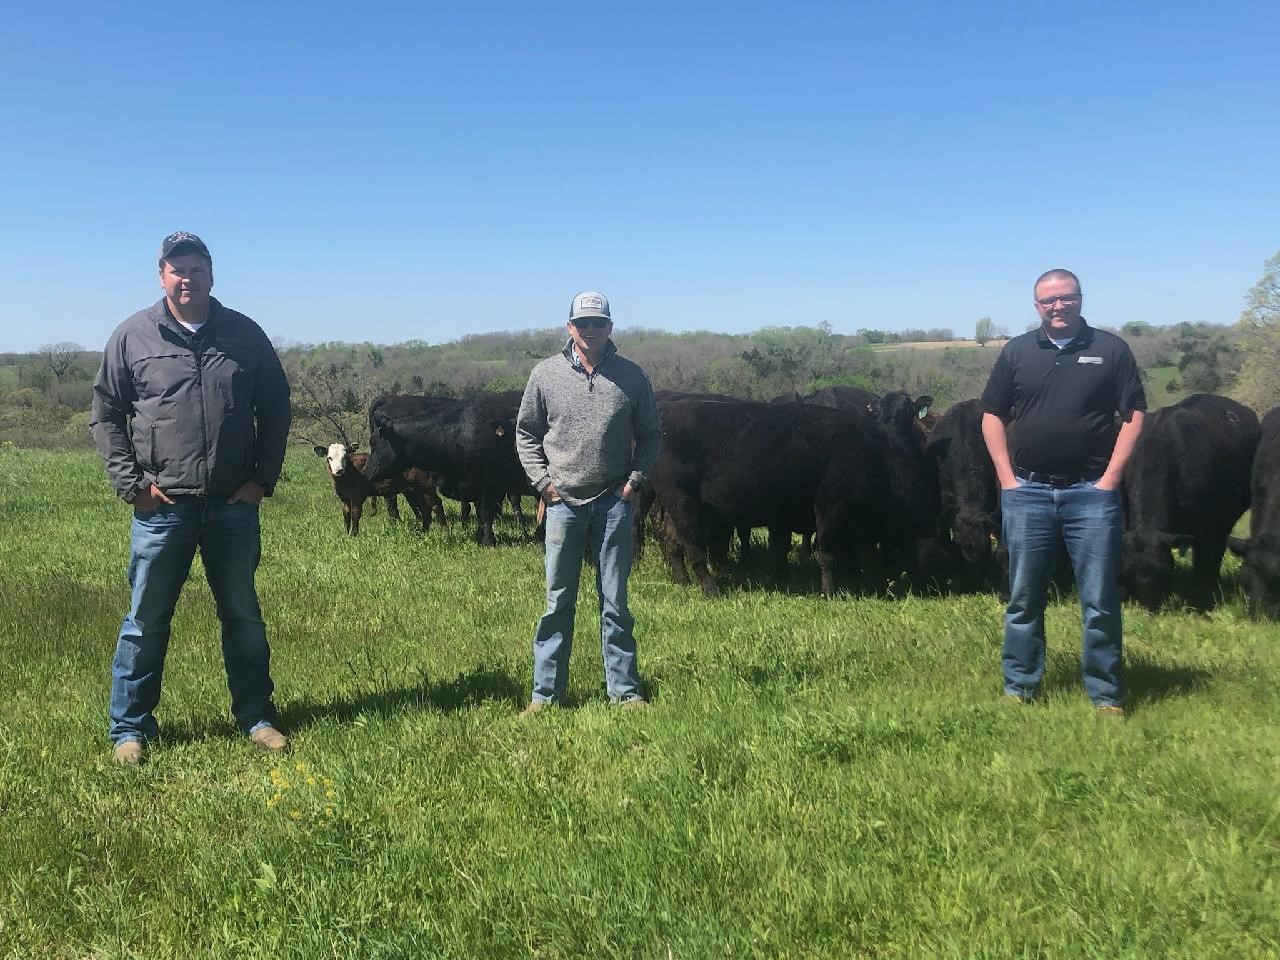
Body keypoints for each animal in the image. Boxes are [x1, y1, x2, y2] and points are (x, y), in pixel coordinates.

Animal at [1121, 394, 1259, 611]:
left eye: (1164, 570)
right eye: (1127, 572)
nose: (1149, 609)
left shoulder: (1212, 527)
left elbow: (1206, 564)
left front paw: (1204, 602)